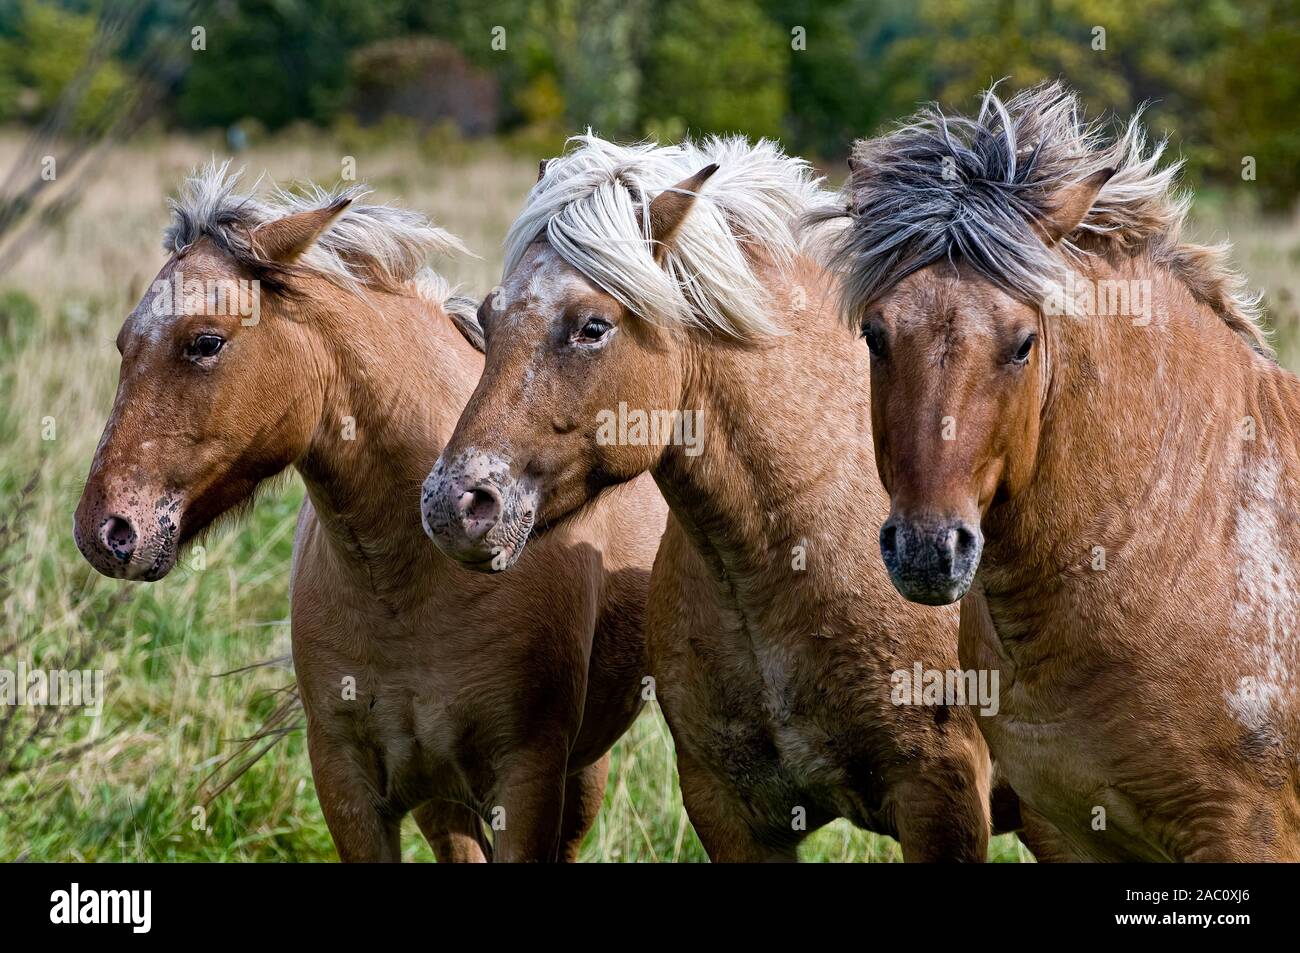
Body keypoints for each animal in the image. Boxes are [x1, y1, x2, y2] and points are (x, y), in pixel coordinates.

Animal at [72, 165, 665, 863]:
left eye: (206, 341)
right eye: (122, 344)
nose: (104, 530)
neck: (409, 581)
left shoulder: (528, 784)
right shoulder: (348, 785)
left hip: (576, 779)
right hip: (442, 796)